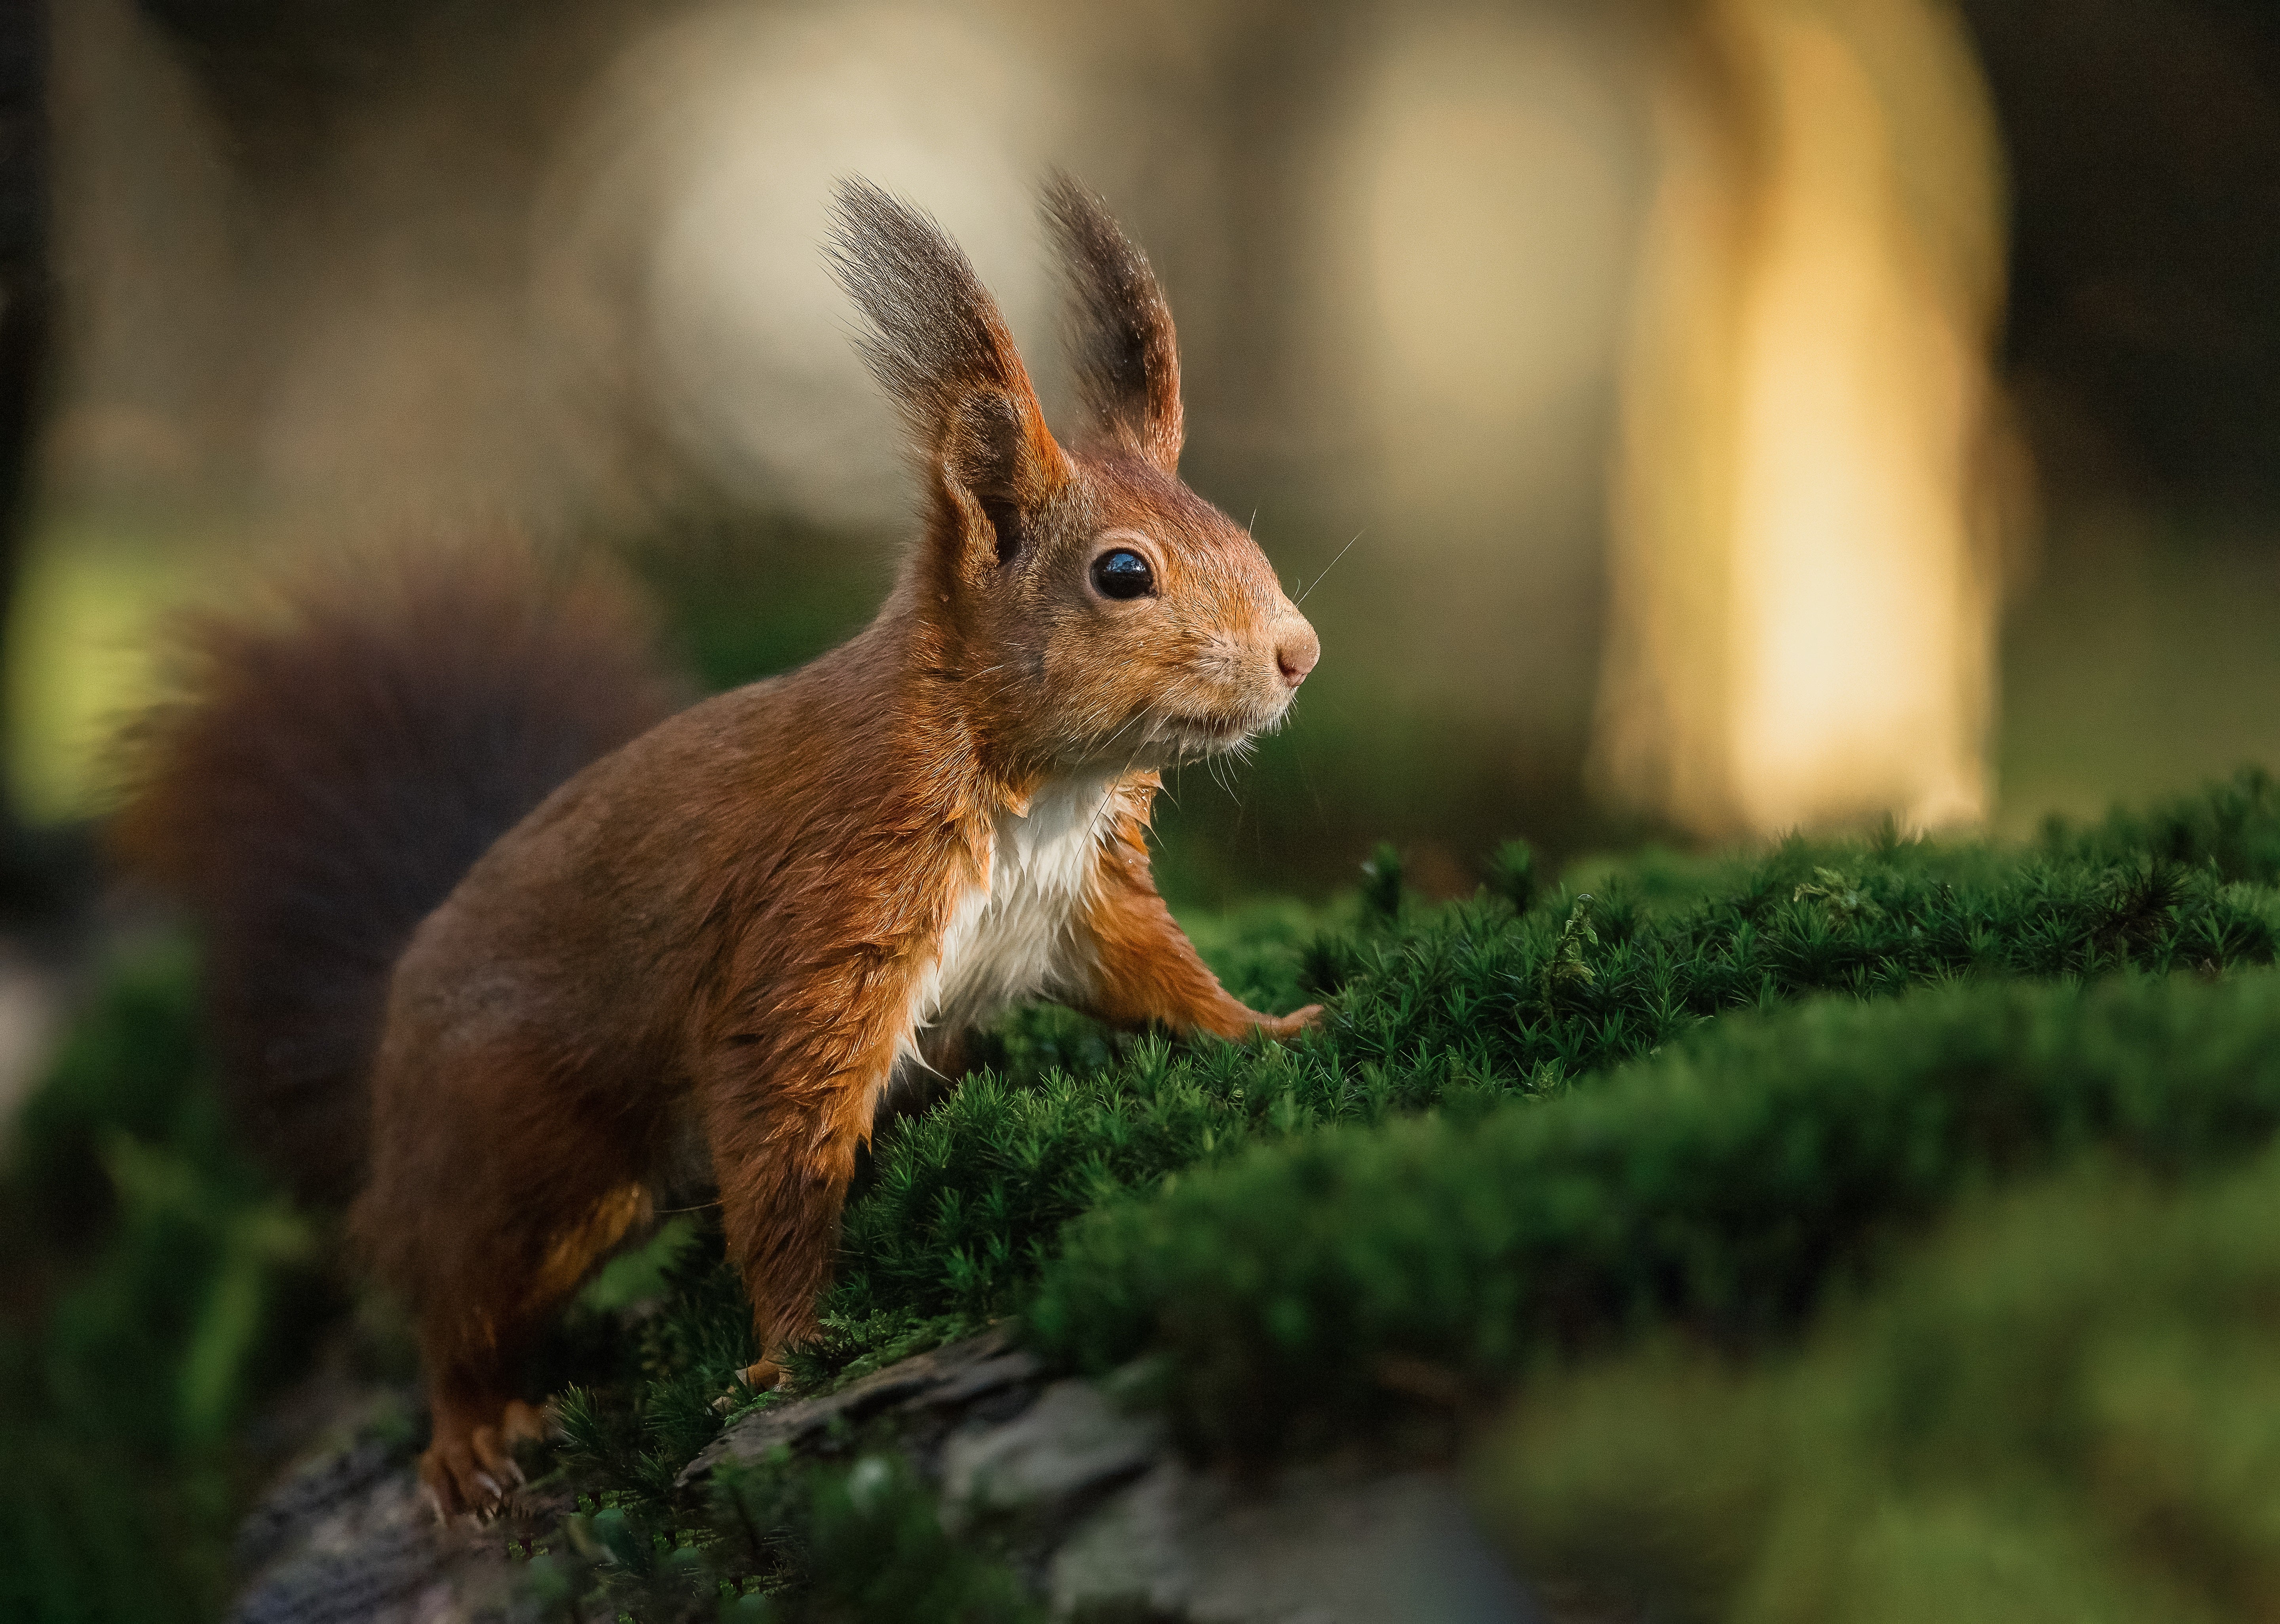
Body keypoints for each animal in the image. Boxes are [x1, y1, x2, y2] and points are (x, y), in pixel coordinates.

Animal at [115, 175, 1322, 1515]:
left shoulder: (1081, 902)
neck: (1038, 788)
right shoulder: (820, 915)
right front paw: (793, 1347)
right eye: (1122, 572)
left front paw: (1279, 1026)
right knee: (455, 1295)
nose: (1299, 651)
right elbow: (783, 1138)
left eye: (1237, 532)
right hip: (518, 1155)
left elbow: (1164, 981)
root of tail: (383, 1064)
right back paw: (472, 1428)